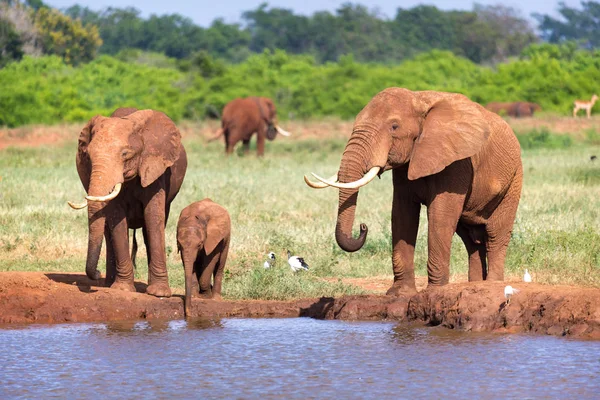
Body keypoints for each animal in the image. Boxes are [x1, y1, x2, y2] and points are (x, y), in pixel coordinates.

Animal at [67, 106, 188, 296]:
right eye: (88, 156)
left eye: (125, 154)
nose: (97, 272)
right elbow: (117, 219)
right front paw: (122, 289)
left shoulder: (155, 167)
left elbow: (153, 216)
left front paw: (159, 294)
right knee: (107, 232)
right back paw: (109, 284)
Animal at [304, 89, 520, 296]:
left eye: (394, 127)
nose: (363, 227)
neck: (419, 98)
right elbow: (402, 215)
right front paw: (399, 293)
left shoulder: (457, 162)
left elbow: (440, 216)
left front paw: (435, 291)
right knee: (470, 240)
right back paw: (475, 285)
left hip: (514, 181)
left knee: (495, 233)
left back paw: (492, 284)